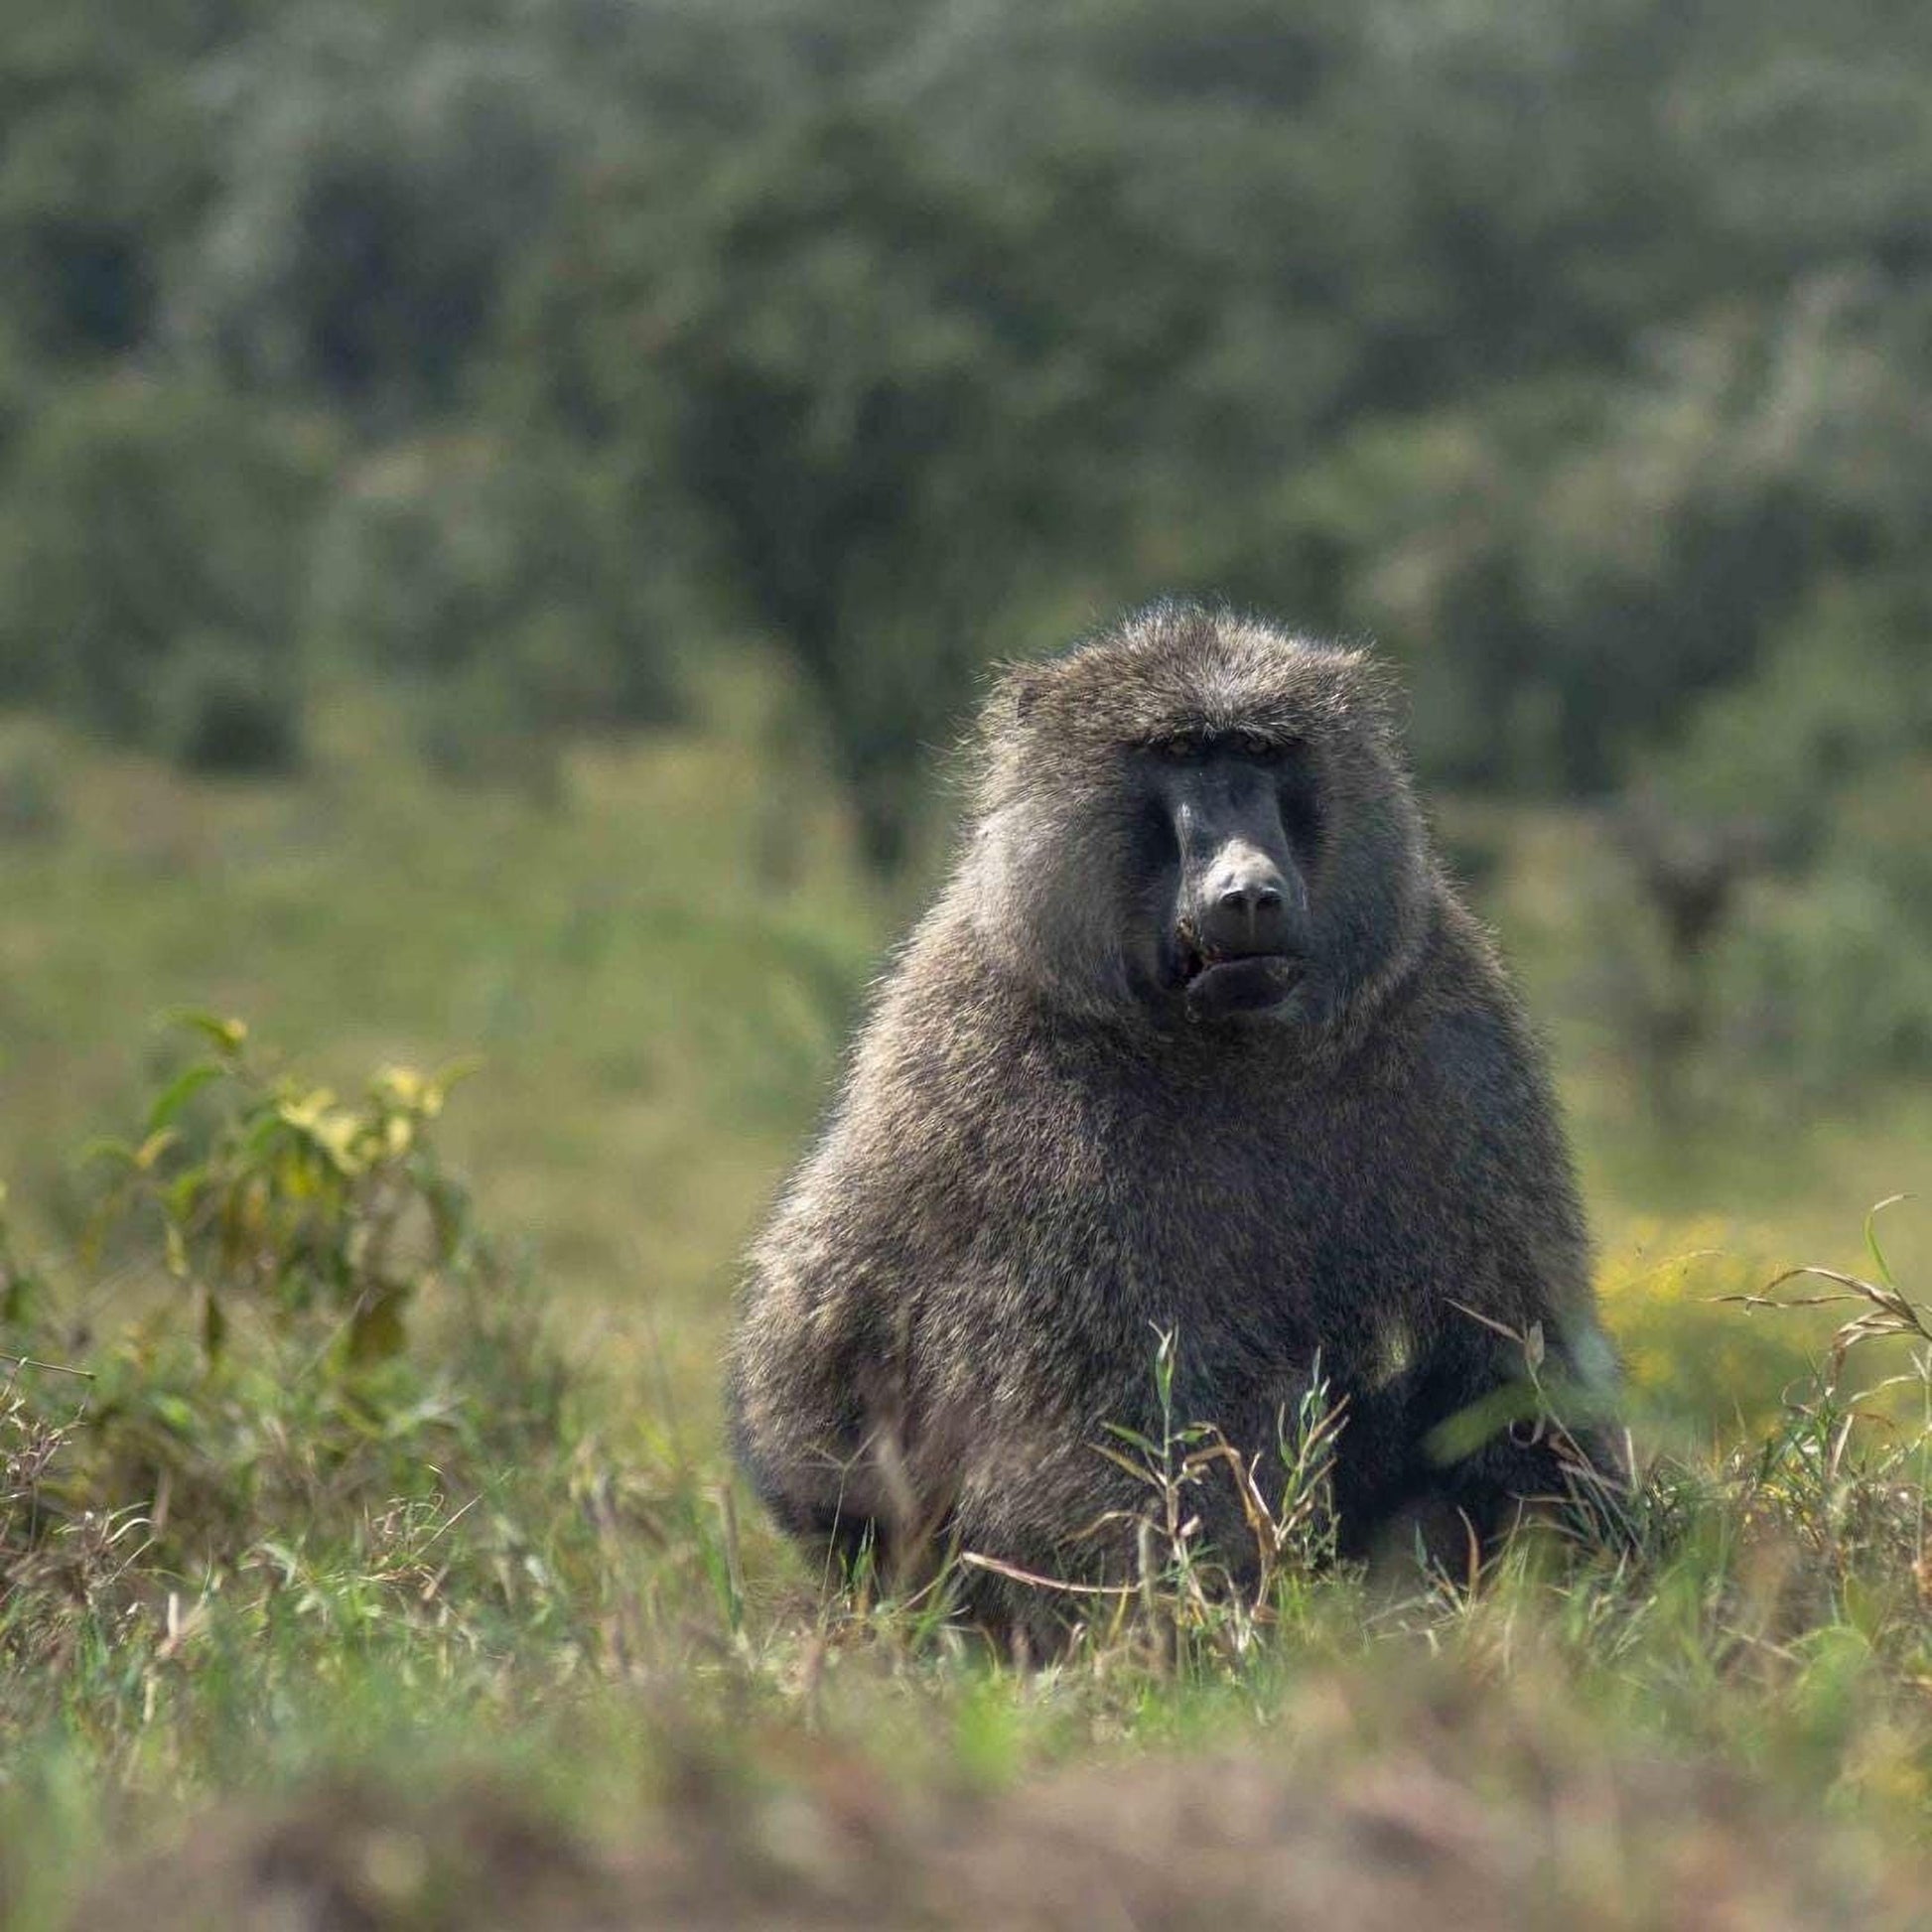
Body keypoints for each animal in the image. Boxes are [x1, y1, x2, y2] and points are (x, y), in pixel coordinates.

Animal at [728, 601, 1619, 1648]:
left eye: (1263, 753)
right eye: (1179, 754)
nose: (1249, 892)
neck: (1227, 1046)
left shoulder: (1454, 1040)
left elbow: (1509, 1369)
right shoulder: (1014, 1097)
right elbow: (1100, 1434)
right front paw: (1213, 1631)